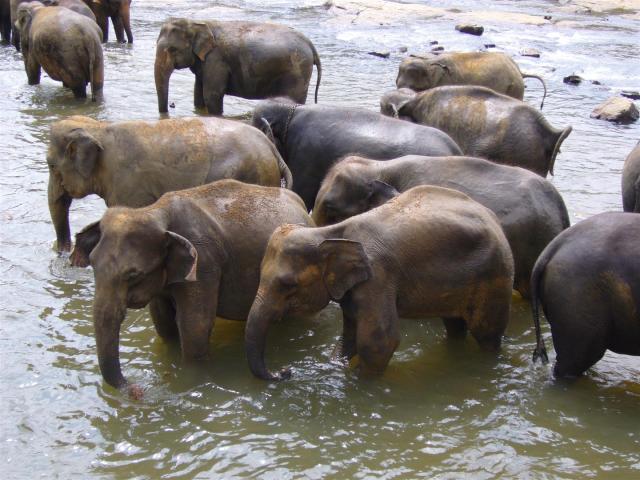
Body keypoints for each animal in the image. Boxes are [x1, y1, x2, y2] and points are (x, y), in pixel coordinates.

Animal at [48, 115, 293, 253]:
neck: (98, 128)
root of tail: (272, 149)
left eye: (50, 164)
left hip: (255, 175)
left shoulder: (129, 188)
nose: (62, 253)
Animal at [70, 180, 314, 393]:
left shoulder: (204, 262)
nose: (137, 389)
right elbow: (164, 324)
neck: (154, 211)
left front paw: (189, 380)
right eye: (92, 264)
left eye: (133, 275)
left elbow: (195, 327)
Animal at [155, 18, 322, 115]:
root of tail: (310, 44)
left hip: (298, 72)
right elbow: (198, 96)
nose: (171, 107)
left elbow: (212, 95)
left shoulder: (216, 59)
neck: (197, 23)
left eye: (172, 49)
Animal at [245, 185, 514, 381]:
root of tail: (493, 219)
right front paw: (338, 366)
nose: (285, 371)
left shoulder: (378, 279)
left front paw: (360, 382)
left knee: (486, 332)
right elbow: (350, 335)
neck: (330, 233)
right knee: (454, 325)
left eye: (288, 285)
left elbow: (379, 341)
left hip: (495, 277)